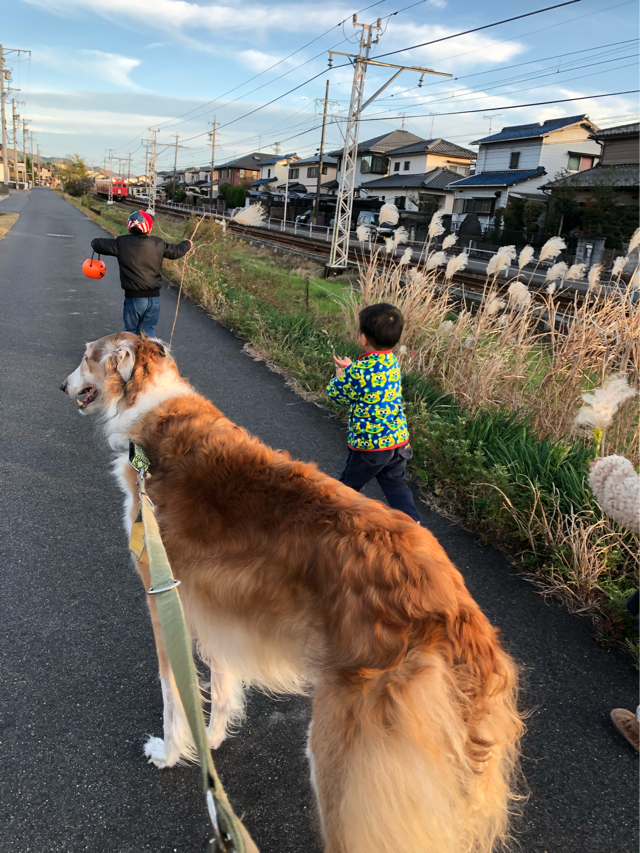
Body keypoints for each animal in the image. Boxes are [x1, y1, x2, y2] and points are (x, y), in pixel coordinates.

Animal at [61, 332, 523, 853]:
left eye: (86, 358)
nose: (62, 386)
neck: (149, 410)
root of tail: (457, 616)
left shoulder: (161, 595)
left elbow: (173, 696)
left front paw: (168, 752)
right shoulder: (216, 610)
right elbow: (222, 685)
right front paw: (211, 743)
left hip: (342, 762)